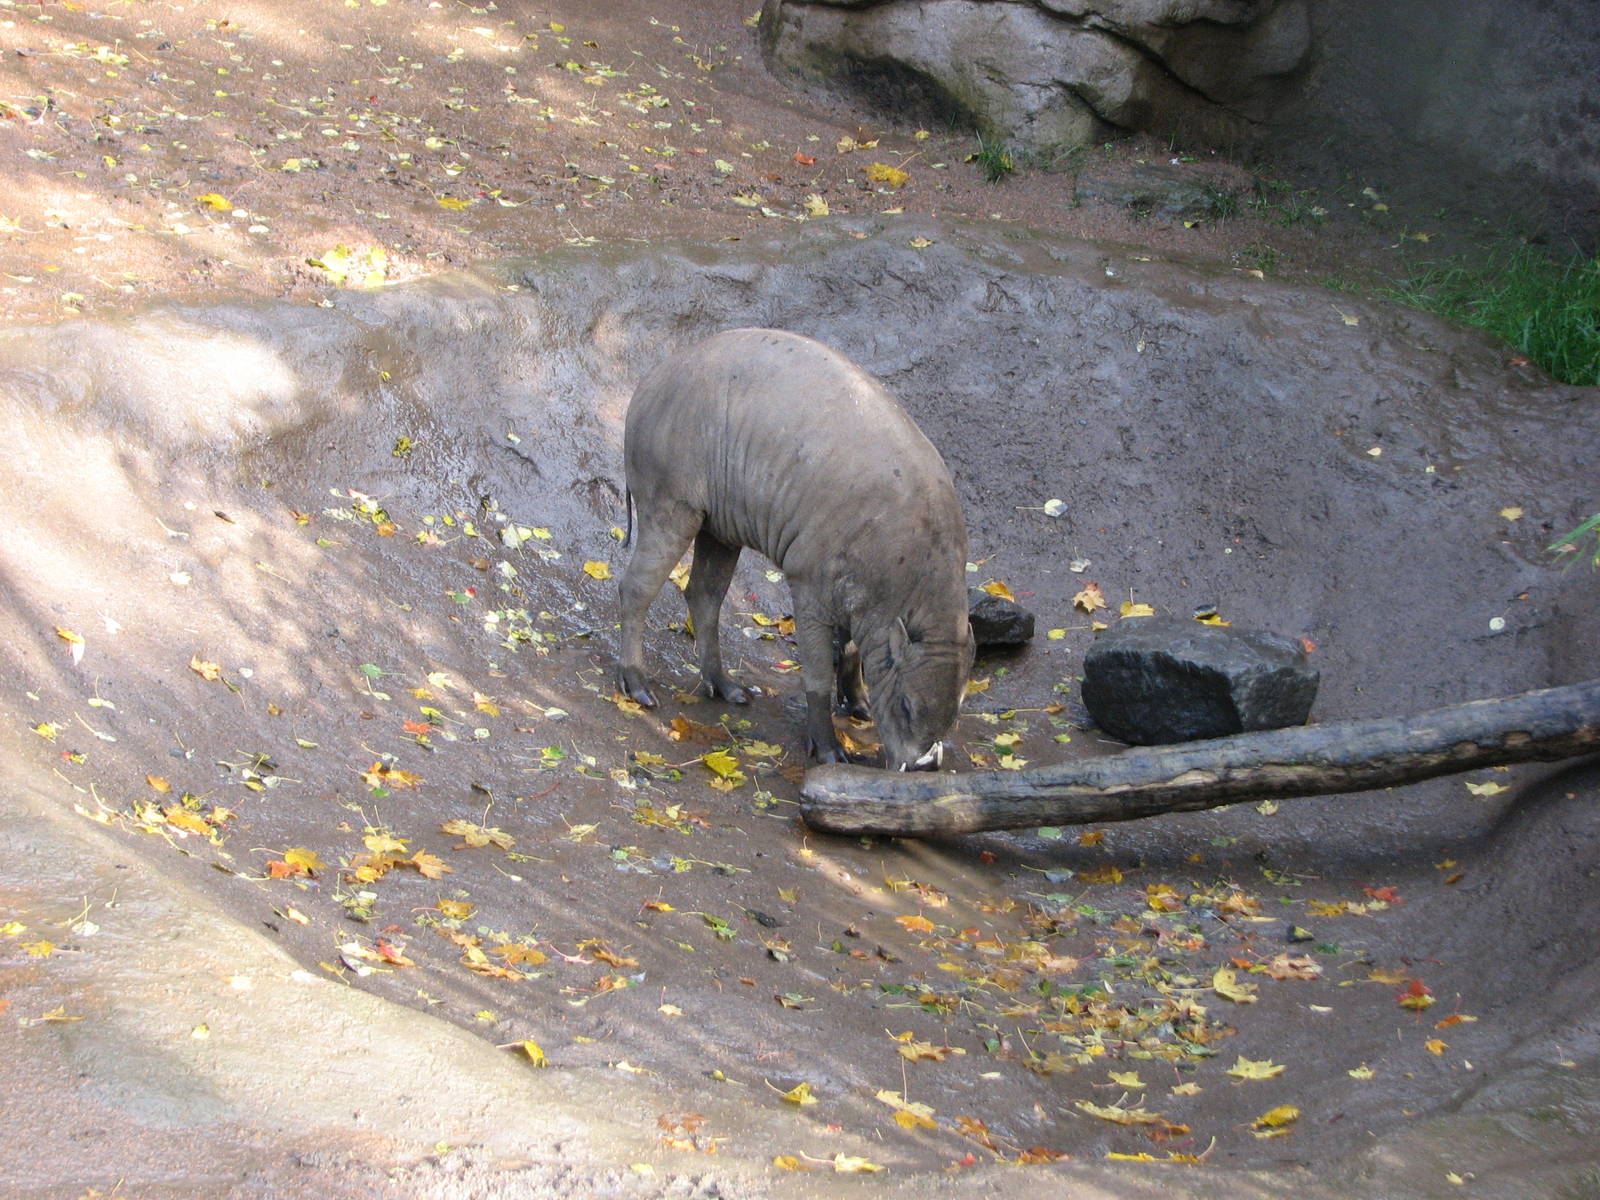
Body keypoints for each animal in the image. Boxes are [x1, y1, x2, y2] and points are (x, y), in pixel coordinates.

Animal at [616, 328, 974, 770]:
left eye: (953, 715)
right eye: (907, 707)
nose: (924, 767)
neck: (908, 570)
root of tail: (647, 382)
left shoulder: (859, 601)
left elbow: (852, 649)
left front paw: (859, 704)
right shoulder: (811, 587)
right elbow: (817, 672)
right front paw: (828, 748)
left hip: (719, 528)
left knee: (704, 596)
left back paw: (724, 685)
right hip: (671, 506)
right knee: (636, 588)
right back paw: (636, 683)